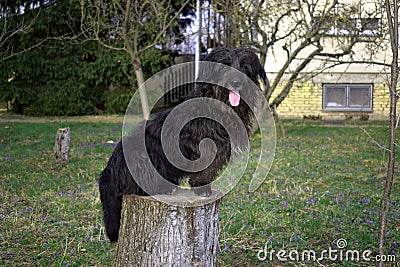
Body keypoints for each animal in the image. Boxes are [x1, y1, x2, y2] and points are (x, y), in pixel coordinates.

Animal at [98, 47, 268, 244]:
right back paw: (166, 187)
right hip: (142, 155)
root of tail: (108, 173)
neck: (220, 105)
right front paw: (201, 188)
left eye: (244, 67)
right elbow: (203, 169)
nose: (236, 83)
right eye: (224, 65)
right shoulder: (202, 146)